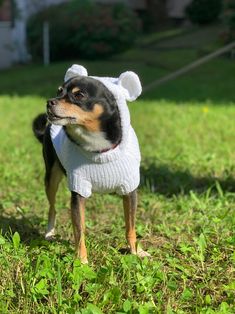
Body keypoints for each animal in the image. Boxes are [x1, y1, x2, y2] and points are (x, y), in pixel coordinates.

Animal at [32, 65, 150, 264]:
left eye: (79, 95)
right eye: (59, 91)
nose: (49, 102)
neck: (98, 147)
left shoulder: (130, 190)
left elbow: (131, 226)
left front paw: (135, 251)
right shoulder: (78, 191)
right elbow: (79, 231)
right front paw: (81, 261)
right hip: (51, 179)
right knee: (52, 207)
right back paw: (49, 232)